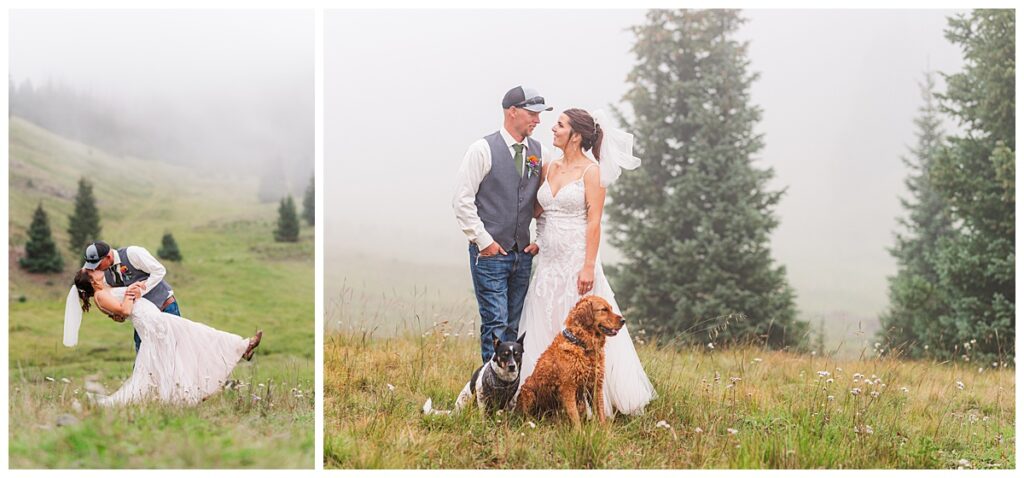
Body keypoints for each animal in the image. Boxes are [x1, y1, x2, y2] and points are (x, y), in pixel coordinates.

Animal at [512, 294, 622, 429]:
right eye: (604, 309)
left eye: (611, 308)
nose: (623, 320)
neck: (583, 346)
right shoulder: (568, 387)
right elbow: (574, 416)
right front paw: (579, 432)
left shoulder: (596, 385)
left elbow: (600, 411)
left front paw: (604, 430)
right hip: (528, 393)